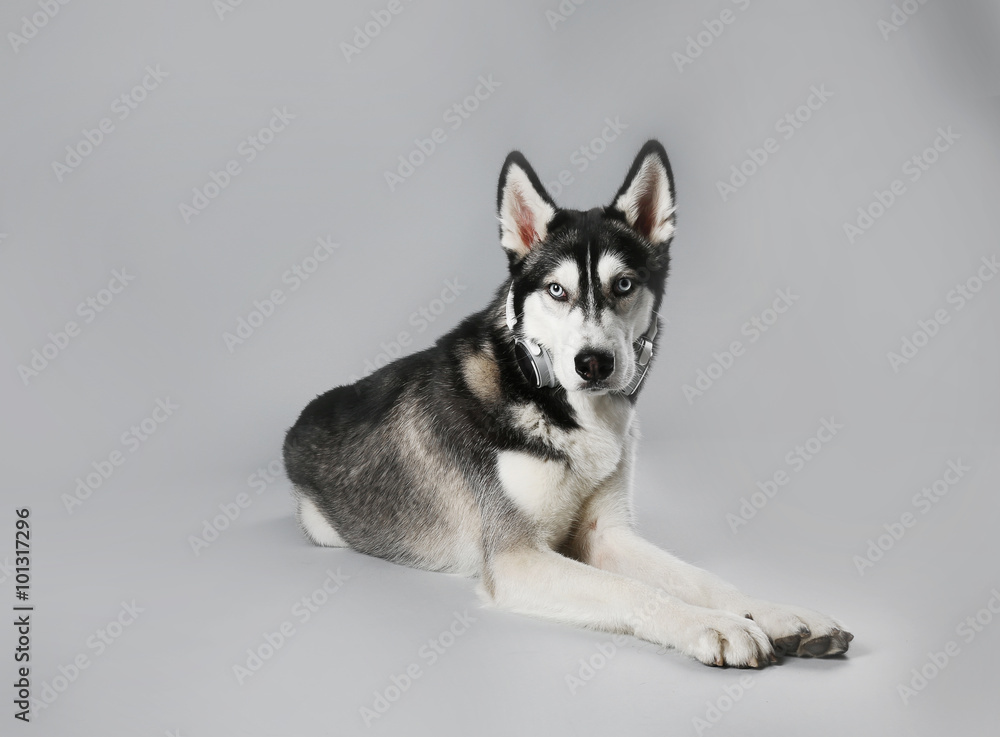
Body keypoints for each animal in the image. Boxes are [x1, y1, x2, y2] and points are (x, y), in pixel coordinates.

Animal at [282, 141, 852, 664]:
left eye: (624, 284)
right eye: (557, 290)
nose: (593, 363)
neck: (564, 411)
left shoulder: (606, 534)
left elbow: (703, 578)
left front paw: (777, 613)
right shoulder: (516, 558)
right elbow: (633, 590)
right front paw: (715, 625)